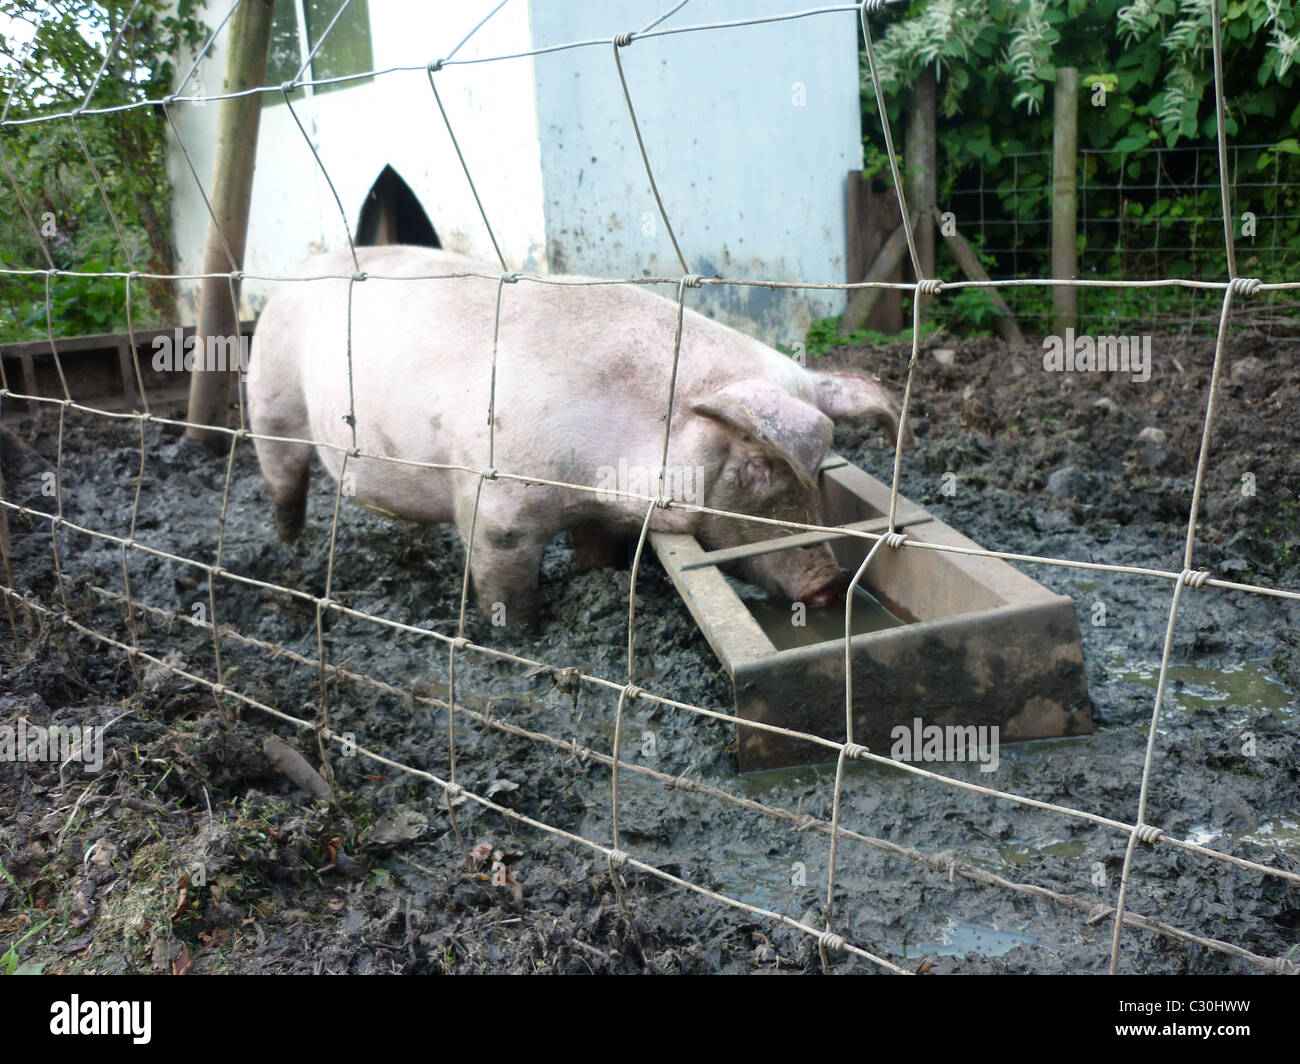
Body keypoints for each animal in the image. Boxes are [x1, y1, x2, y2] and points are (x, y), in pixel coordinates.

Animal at [248, 247, 909, 621]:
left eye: (819, 476)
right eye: (757, 467)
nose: (831, 583)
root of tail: (295, 274)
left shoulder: (604, 512)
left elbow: (598, 555)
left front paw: (598, 583)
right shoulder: (495, 509)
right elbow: (504, 588)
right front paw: (518, 638)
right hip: (271, 402)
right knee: (283, 478)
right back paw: (290, 548)